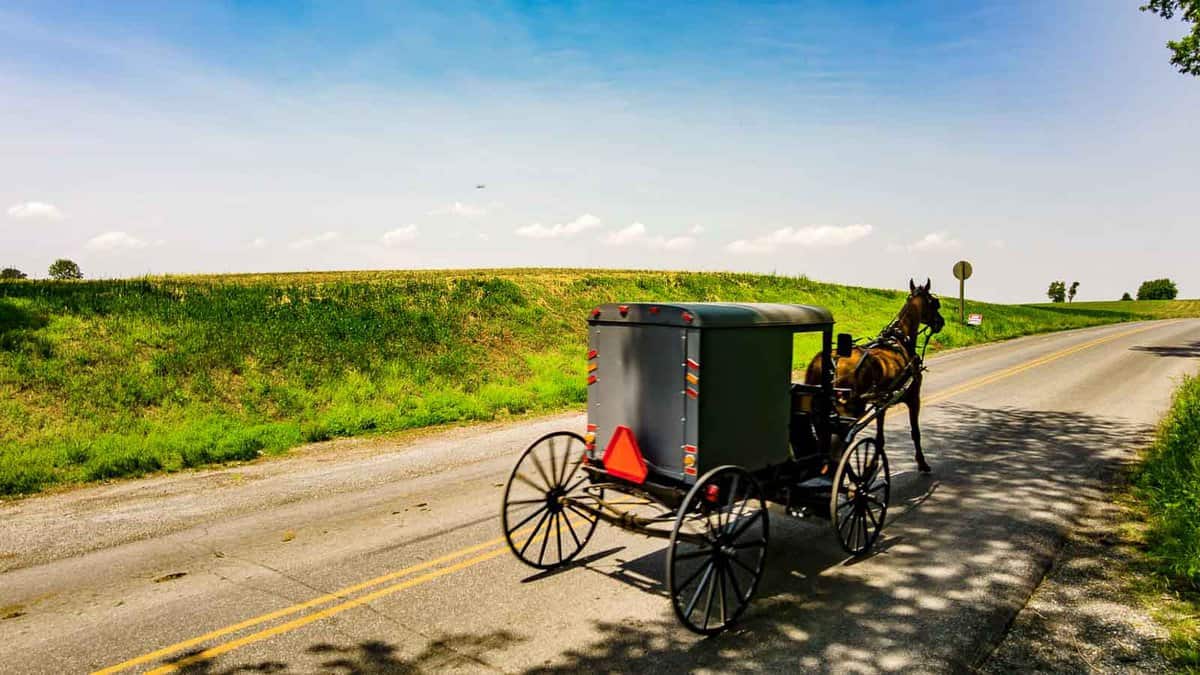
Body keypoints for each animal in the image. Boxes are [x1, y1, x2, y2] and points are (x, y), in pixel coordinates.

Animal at [806, 276, 945, 470]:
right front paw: (922, 462)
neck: (900, 339)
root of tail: (829, 360)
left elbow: (879, 437)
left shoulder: (881, 402)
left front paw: (873, 463)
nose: (941, 322)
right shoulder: (913, 397)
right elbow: (915, 432)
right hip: (850, 409)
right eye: (934, 302)